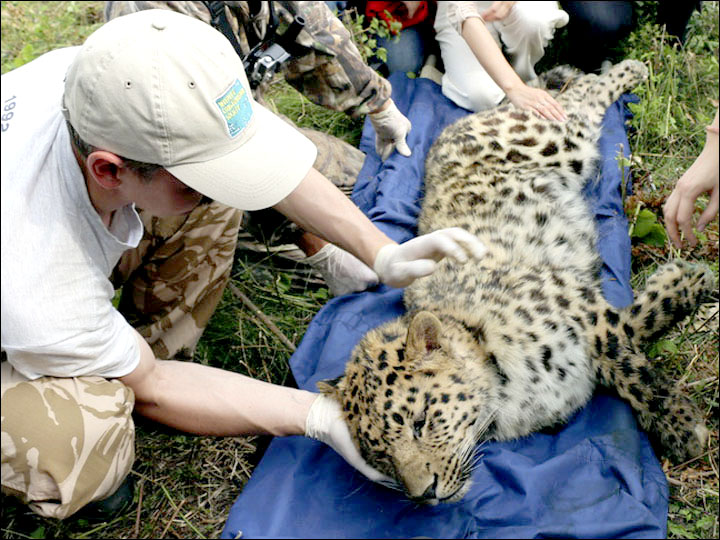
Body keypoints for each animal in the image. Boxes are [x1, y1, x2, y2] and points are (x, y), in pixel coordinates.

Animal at [320, 60, 716, 506]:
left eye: (420, 421)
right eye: (381, 455)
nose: (425, 495)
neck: (503, 389)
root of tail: (457, 125)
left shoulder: (590, 315)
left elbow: (638, 357)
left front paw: (682, 424)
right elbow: (635, 333)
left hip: (557, 139)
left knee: (582, 93)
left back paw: (629, 70)